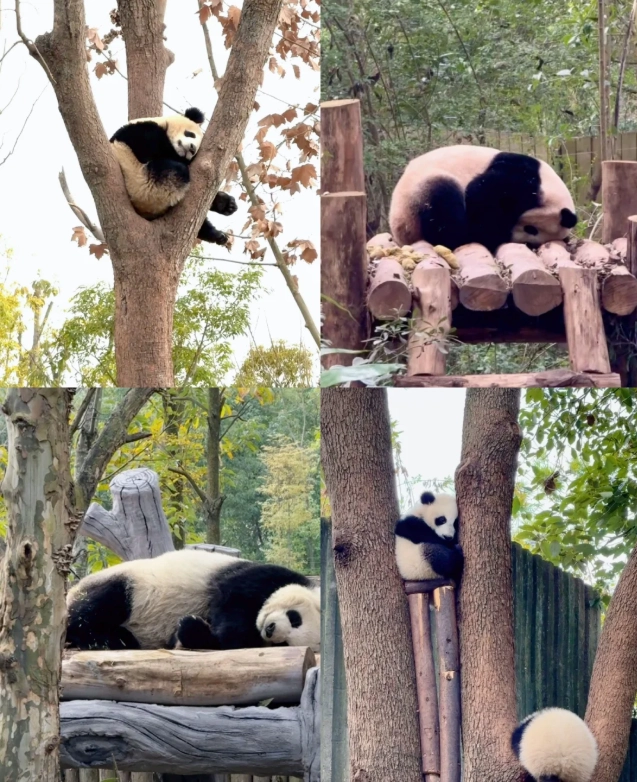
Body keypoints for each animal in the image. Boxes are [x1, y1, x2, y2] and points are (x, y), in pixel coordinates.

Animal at [65, 549, 320, 652]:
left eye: (284, 644)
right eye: (295, 618)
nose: (270, 629)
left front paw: (190, 628)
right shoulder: (262, 576)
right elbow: (232, 595)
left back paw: (120, 638)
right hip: (130, 585)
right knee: (98, 605)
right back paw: (96, 637)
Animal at [110, 107, 237, 245]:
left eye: (196, 150)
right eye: (190, 134)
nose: (192, 149)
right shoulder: (139, 131)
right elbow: (151, 149)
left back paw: (223, 211)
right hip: (144, 184)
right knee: (177, 172)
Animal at [389, 145, 577, 254]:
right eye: (531, 229)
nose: (511, 237)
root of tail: (401, 230)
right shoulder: (522, 177)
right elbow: (480, 194)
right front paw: (490, 232)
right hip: (418, 191)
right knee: (443, 200)